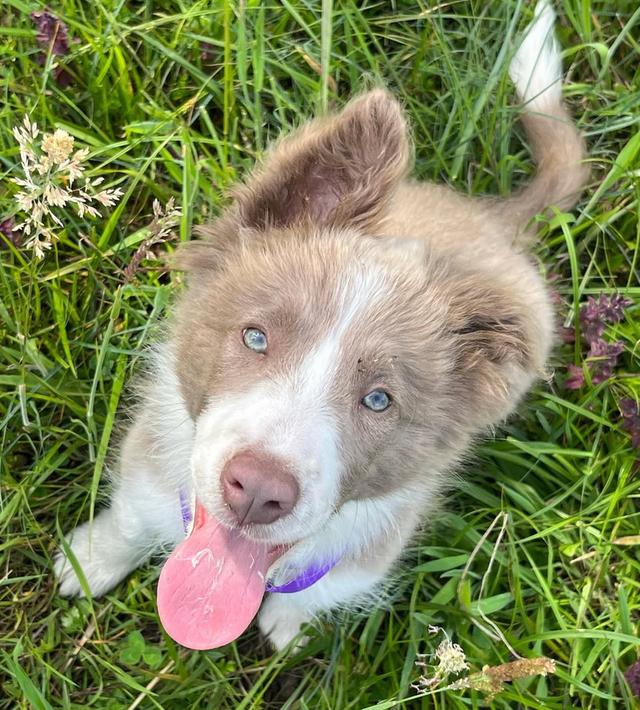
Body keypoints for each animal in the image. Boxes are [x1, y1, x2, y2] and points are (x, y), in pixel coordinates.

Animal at [53, 0, 584, 652]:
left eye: (379, 399)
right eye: (255, 337)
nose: (258, 491)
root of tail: (492, 219)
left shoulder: (372, 548)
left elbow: (321, 588)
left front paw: (290, 623)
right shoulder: (149, 455)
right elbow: (132, 513)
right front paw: (92, 561)